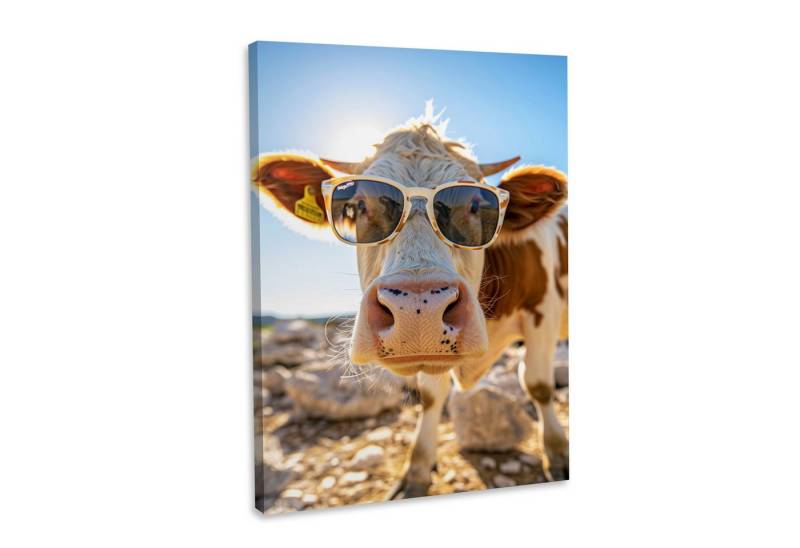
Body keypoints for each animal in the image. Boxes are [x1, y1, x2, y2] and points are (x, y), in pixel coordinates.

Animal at [253, 111, 568, 498]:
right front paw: (417, 469)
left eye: (476, 204)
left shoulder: (545, 313)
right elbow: (431, 396)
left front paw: (557, 454)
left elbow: (538, 385)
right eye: (357, 206)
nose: (419, 308)